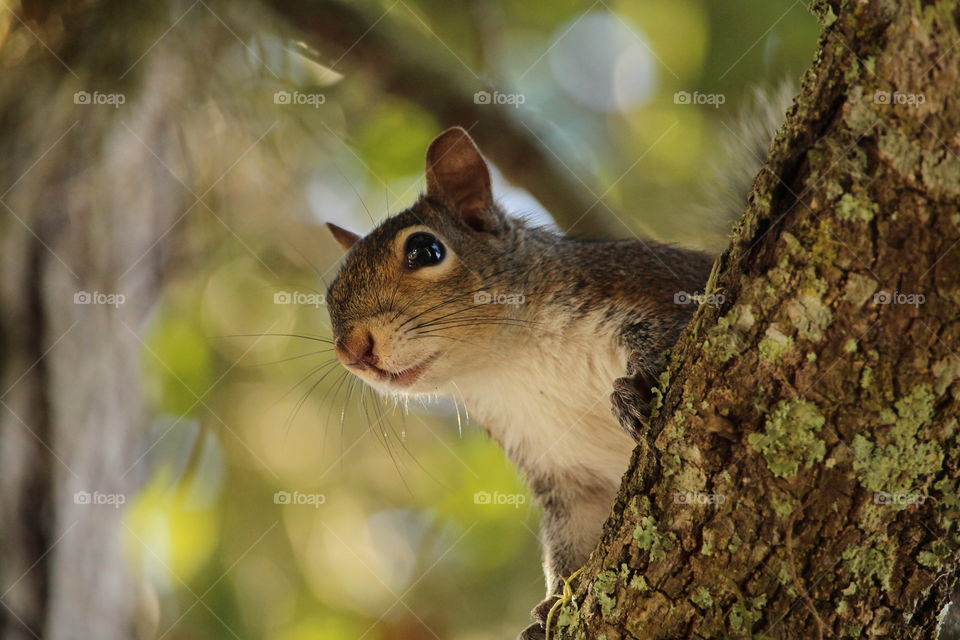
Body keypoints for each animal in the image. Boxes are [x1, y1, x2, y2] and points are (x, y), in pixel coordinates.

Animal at [322, 87, 788, 636]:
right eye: (327, 291)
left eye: (425, 249)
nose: (352, 351)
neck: (511, 364)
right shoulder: (562, 471)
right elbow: (572, 534)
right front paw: (550, 606)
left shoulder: (651, 287)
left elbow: (668, 333)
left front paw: (632, 389)